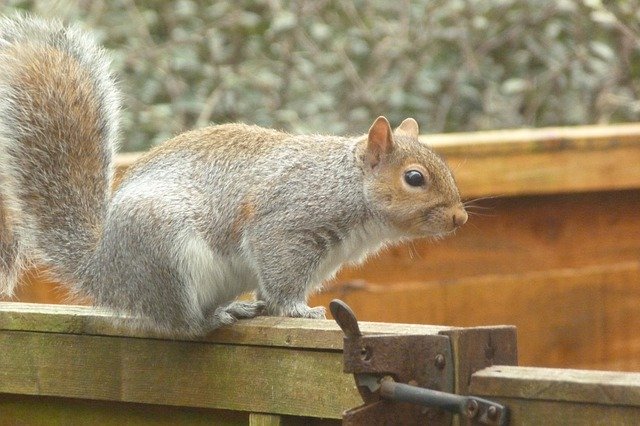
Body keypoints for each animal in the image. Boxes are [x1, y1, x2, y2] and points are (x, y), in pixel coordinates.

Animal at [2, 15, 468, 336]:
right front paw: (297, 310)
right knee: (182, 323)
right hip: (166, 253)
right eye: (414, 178)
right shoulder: (288, 223)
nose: (460, 218)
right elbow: (280, 272)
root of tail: (106, 271)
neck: (346, 186)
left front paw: (275, 305)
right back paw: (216, 316)